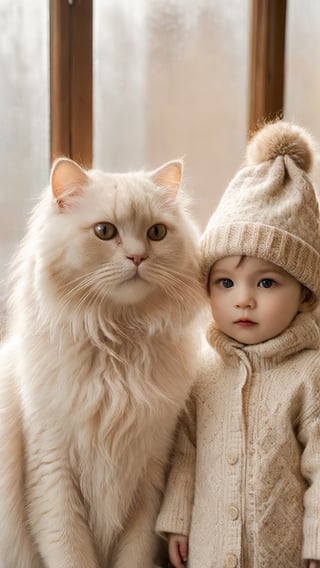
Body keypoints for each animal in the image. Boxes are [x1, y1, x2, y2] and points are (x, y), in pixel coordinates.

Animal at [0, 158, 205, 564]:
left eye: (157, 232)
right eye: (104, 231)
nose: (138, 257)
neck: (118, 348)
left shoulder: (149, 478)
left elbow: (134, 554)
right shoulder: (53, 475)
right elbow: (70, 553)